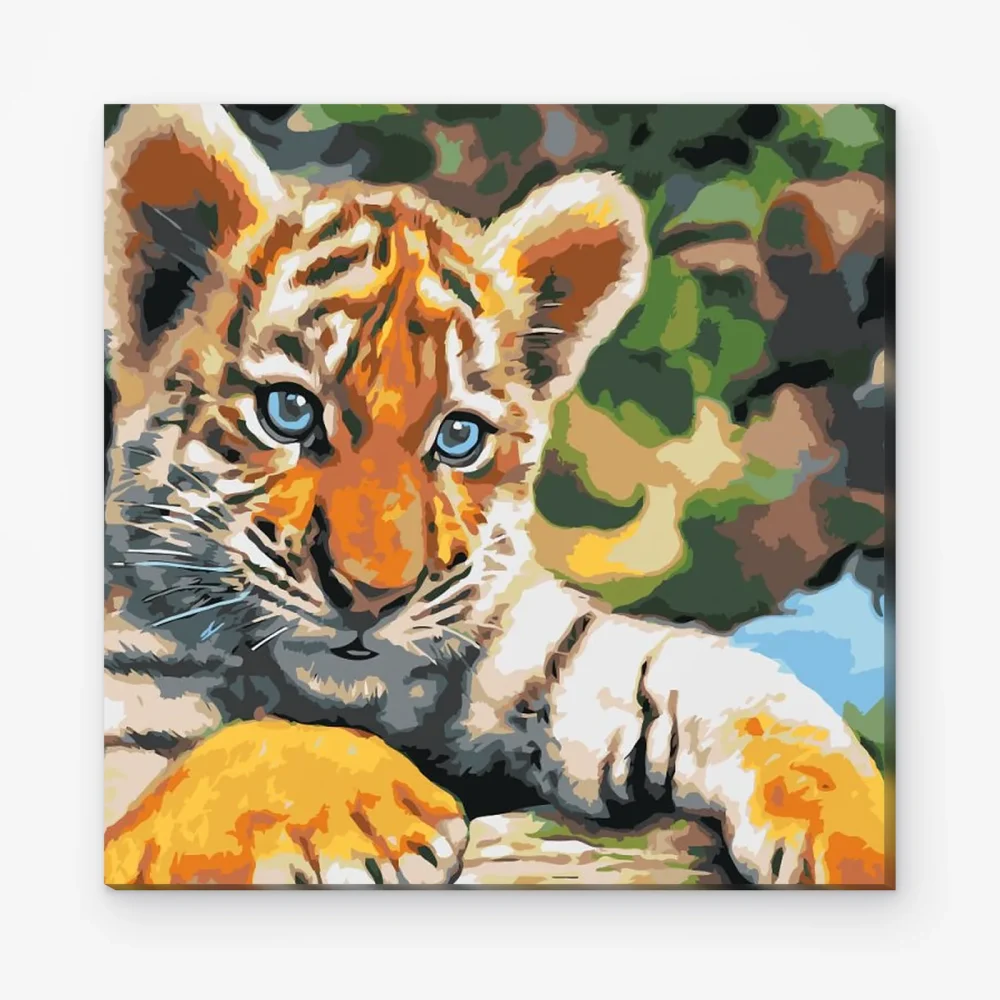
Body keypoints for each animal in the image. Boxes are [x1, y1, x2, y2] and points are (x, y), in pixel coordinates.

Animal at [103, 104, 886, 887]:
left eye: (458, 437)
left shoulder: (539, 647)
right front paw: (383, 810)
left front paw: (860, 840)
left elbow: (724, 681)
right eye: (289, 411)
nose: (373, 597)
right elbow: (221, 756)